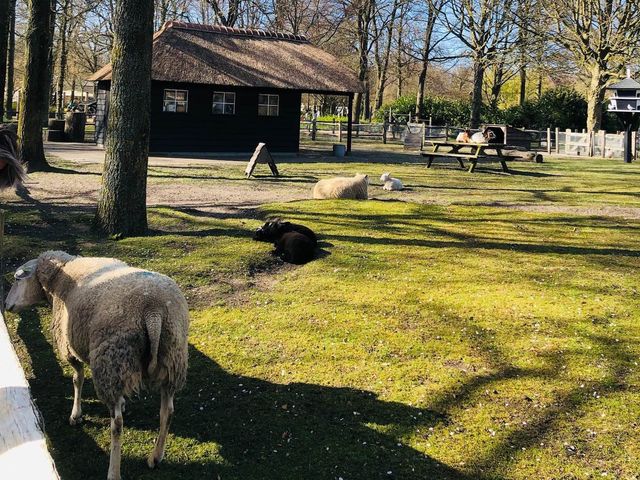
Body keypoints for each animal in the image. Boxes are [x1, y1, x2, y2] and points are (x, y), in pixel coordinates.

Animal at [5, 251, 190, 480]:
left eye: (17, 279)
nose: (6, 305)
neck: (61, 276)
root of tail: (153, 311)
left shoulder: (70, 347)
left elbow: (77, 379)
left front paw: (75, 414)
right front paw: (123, 402)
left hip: (111, 358)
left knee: (117, 424)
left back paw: (114, 471)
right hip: (170, 359)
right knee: (168, 411)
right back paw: (156, 457)